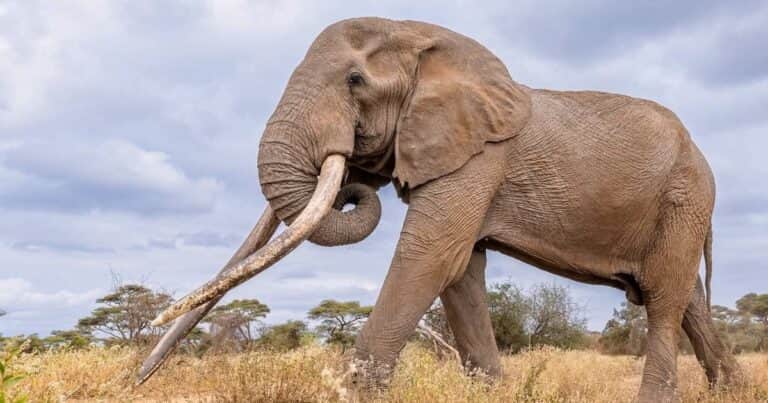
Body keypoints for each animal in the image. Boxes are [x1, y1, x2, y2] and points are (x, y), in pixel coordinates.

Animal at [140, 17, 743, 402]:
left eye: (354, 81)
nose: (136, 378)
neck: (424, 40)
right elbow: (460, 273)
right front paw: (495, 394)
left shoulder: (478, 157)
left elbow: (430, 257)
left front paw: (351, 394)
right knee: (688, 298)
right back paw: (732, 389)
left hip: (685, 196)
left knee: (663, 299)